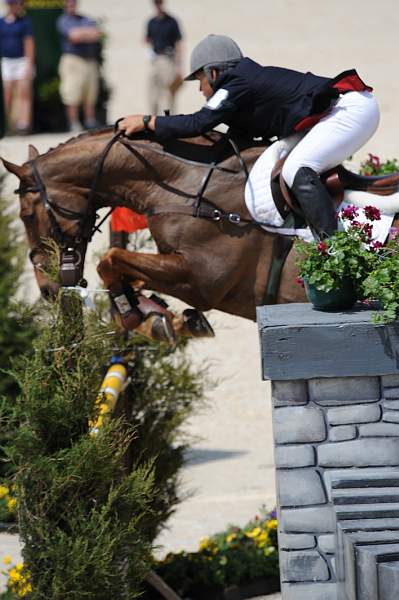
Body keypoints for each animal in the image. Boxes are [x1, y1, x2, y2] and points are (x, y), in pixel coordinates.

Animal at [1, 126, 398, 340]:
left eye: (27, 215)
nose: (48, 289)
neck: (184, 184)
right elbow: (124, 269)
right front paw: (161, 317)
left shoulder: (201, 279)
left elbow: (110, 260)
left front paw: (142, 317)